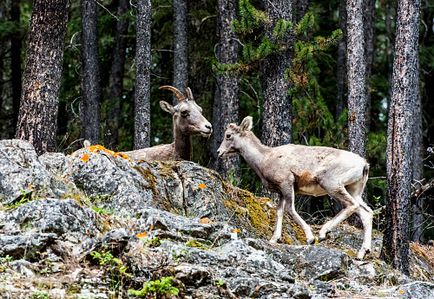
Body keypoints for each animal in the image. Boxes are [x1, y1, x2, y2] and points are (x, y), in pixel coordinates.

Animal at [217, 116, 372, 260]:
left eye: (228, 135)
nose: (219, 152)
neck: (264, 159)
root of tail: (364, 164)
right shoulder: (280, 191)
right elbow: (279, 211)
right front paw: (274, 239)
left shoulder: (287, 183)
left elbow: (290, 209)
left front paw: (310, 238)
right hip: (353, 189)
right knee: (366, 212)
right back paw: (362, 253)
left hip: (332, 184)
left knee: (351, 205)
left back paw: (323, 233)